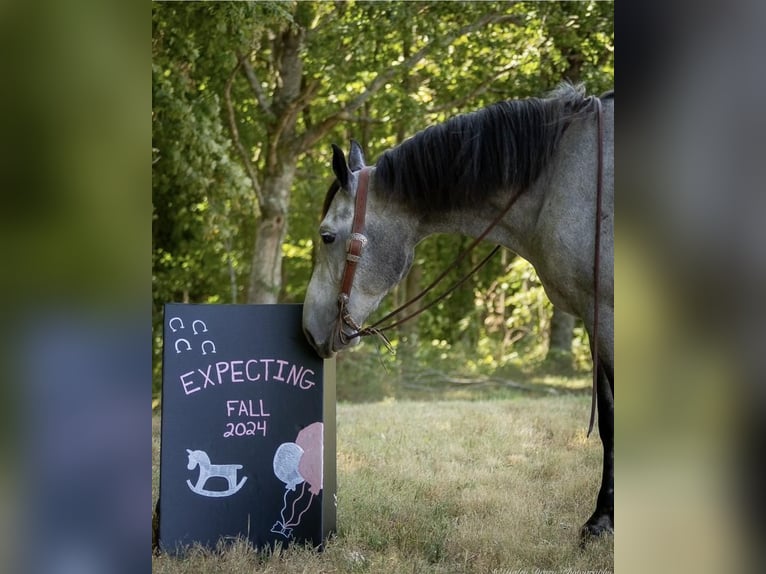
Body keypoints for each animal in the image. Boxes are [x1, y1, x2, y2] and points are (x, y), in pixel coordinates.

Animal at [304, 83, 616, 544]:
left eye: (327, 236)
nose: (308, 328)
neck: (557, 180)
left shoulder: (607, 315)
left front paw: (602, 520)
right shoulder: (596, 320)